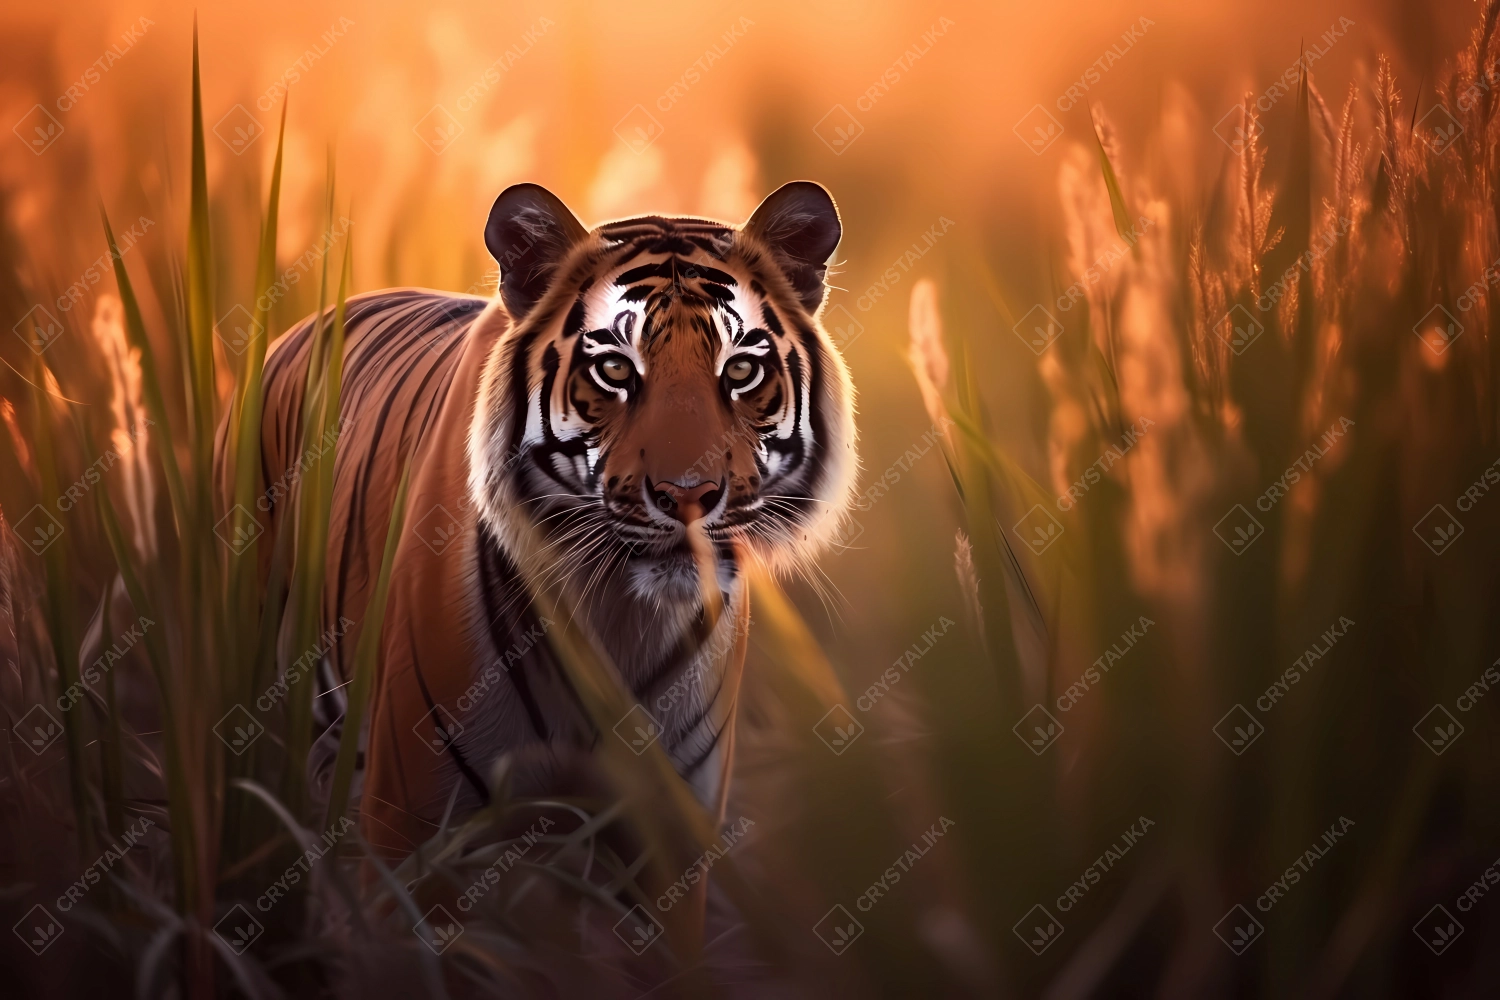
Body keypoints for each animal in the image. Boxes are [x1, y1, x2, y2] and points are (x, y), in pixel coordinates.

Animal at [241, 182, 864, 869]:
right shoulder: (412, 821)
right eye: (615, 371)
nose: (690, 496)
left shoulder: (673, 832)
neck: (621, 615)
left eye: (741, 372)